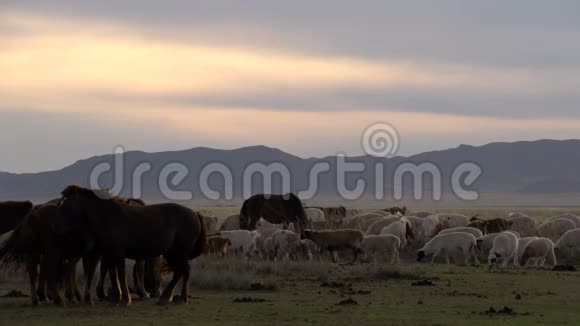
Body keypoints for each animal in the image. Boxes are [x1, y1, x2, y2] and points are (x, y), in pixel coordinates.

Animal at [58, 186, 206, 306]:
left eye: (65, 203)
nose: (58, 227)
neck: (108, 216)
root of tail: (195, 214)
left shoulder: (118, 254)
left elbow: (121, 275)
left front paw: (125, 299)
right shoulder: (110, 254)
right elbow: (114, 275)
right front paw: (117, 298)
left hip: (179, 252)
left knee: (184, 270)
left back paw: (179, 298)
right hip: (171, 253)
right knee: (180, 271)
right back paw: (169, 297)